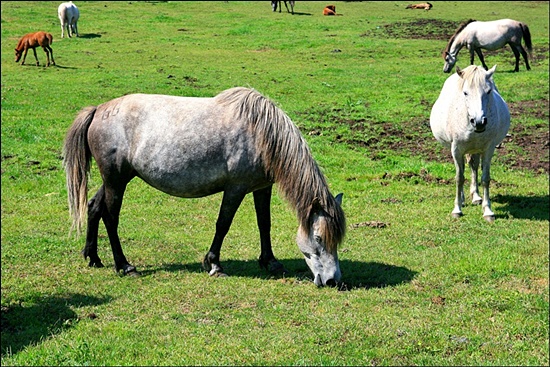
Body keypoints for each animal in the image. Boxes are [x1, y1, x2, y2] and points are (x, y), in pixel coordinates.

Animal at [432, 64, 512, 223]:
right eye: (465, 93)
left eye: (488, 91)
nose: (479, 122)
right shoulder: (456, 150)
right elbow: (459, 178)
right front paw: (457, 209)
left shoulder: (488, 149)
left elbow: (485, 178)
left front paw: (488, 211)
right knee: (464, 170)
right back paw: (463, 199)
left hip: (475, 150)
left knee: (473, 167)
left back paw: (476, 197)